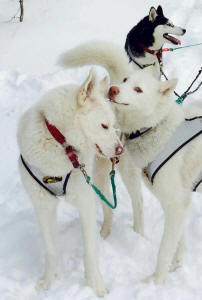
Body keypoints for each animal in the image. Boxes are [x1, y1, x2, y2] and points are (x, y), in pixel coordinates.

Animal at [17, 67, 123, 296]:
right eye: (104, 126)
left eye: (112, 126)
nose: (120, 150)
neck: (60, 142)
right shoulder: (43, 205)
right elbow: (51, 249)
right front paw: (48, 282)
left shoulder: (84, 200)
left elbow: (89, 250)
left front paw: (95, 285)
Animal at [58, 41, 202, 284]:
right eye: (126, 81)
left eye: (138, 90)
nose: (113, 90)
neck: (157, 127)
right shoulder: (175, 202)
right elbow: (178, 241)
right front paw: (176, 266)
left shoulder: (176, 202)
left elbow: (164, 250)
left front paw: (156, 282)